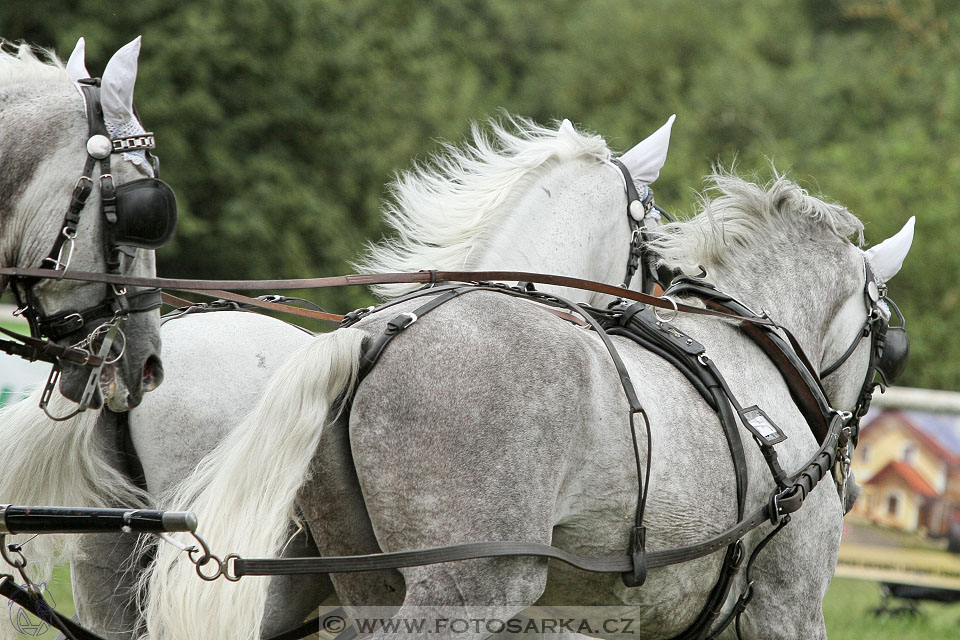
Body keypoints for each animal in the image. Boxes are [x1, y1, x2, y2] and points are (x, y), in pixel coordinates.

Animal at [144, 170, 916, 640]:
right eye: (888, 340)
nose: (850, 481)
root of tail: (370, 336)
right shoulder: (788, 606)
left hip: (360, 579)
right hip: (470, 584)